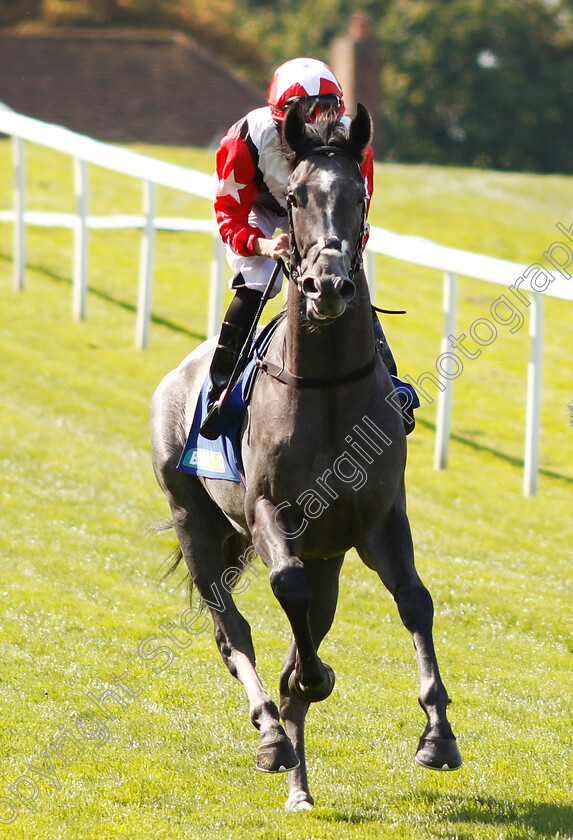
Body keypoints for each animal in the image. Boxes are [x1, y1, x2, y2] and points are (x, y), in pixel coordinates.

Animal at [149, 101, 460, 812]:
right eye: (292, 197)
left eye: (358, 194)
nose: (328, 285)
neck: (325, 389)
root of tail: (176, 377)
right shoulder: (270, 510)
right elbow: (284, 593)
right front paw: (308, 681)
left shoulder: (379, 519)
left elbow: (414, 600)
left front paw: (438, 735)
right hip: (193, 520)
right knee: (232, 630)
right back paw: (271, 736)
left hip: (330, 559)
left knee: (306, 624)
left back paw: (300, 783)